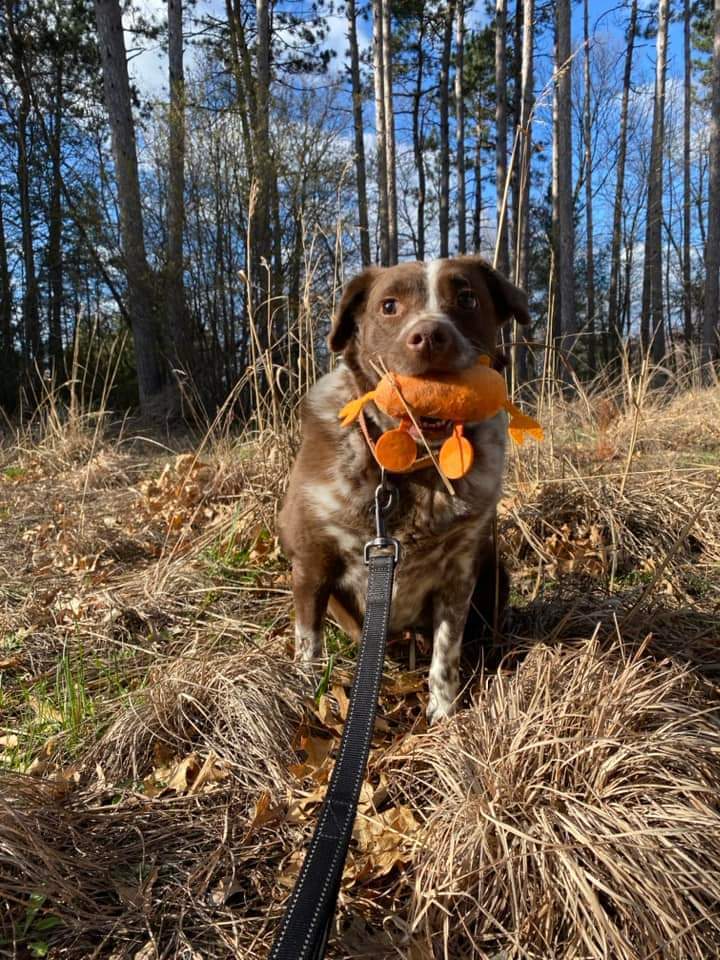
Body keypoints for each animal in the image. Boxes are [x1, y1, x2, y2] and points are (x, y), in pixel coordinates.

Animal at [278, 255, 532, 720]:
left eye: (467, 297)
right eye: (389, 306)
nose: (430, 336)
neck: (410, 465)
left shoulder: (461, 568)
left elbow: (446, 651)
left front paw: (444, 713)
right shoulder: (311, 560)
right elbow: (309, 642)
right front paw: (308, 696)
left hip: (495, 571)